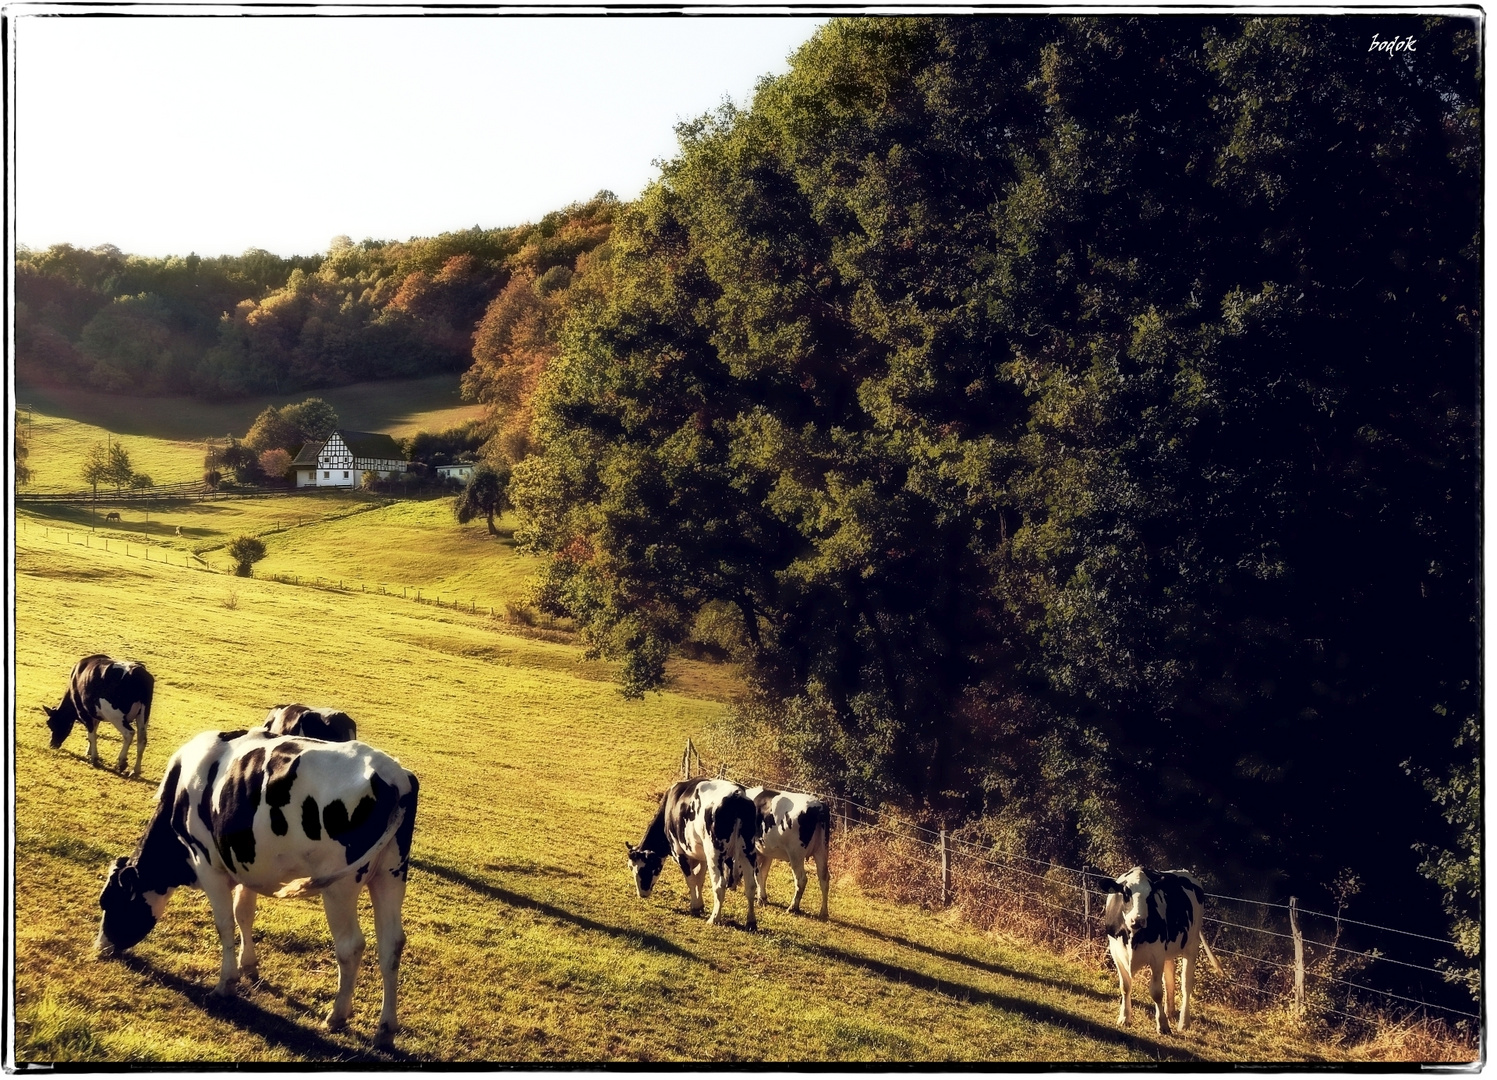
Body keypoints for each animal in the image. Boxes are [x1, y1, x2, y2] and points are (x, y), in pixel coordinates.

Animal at [97, 724, 422, 1042]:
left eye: (109, 901)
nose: (99, 947)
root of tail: (395, 775)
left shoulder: (208, 866)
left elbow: (225, 924)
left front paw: (226, 984)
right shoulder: (244, 866)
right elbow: (244, 914)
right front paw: (249, 966)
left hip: (340, 886)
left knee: (351, 946)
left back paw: (337, 1016)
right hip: (390, 875)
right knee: (391, 944)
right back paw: (385, 1029)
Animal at [625, 772, 760, 928]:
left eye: (644, 868)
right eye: (631, 867)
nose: (642, 893)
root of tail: (737, 794)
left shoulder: (679, 852)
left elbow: (690, 880)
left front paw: (695, 906)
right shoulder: (702, 856)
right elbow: (699, 880)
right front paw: (699, 905)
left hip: (714, 852)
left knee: (719, 884)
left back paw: (714, 919)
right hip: (748, 851)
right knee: (751, 885)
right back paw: (751, 922)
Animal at [745, 784, 838, 916]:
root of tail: (819, 805)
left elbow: (757, 874)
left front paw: (761, 898)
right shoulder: (766, 852)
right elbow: (763, 874)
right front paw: (761, 898)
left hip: (796, 853)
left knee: (801, 879)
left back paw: (793, 907)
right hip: (821, 849)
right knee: (824, 877)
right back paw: (823, 913)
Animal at [1095, 862, 1221, 1030]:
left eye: (1150, 896)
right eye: (1126, 893)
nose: (1138, 920)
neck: (1132, 935)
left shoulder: (1157, 955)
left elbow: (1156, 992)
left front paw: (1163, 1024)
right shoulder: (1116, 952)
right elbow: (1125, 986)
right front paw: (1124, 1018)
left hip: (1192, 944)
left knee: (1186, 984)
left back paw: (1183, 1022)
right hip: (1167, 952)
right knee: (1169, 976)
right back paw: (1170, 1011)